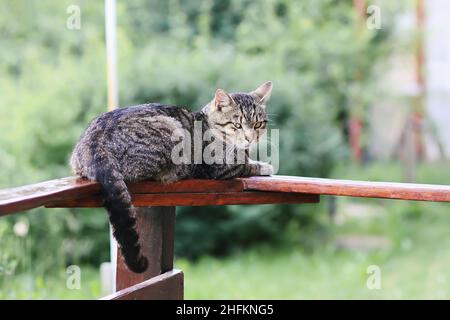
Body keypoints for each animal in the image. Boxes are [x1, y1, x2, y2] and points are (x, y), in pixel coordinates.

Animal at [71, 82, 274, 272]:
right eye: (237, 125)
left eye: (258, 124)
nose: (250, 138)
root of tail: (96, 143)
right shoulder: (219, 167)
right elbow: (246, 165)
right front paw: (263, 165)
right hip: (169, 129)